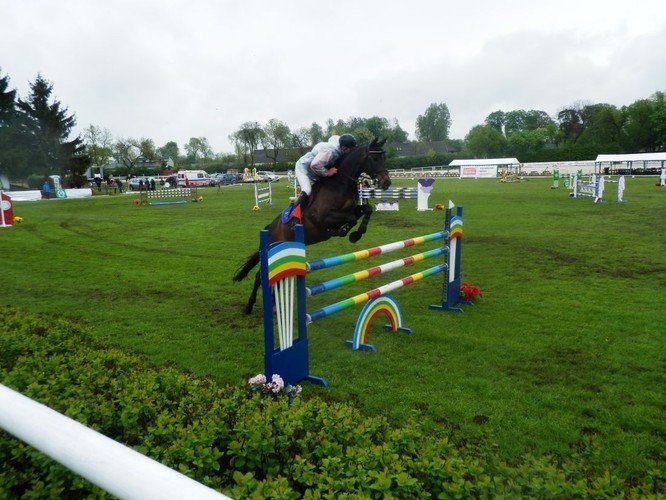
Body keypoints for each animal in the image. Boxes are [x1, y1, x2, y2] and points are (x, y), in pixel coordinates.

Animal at [232, 137, 390, 314]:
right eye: (375, 158)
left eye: (384, 157)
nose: (387, 183)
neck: (339, 184)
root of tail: (268, 228)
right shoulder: (322, 218)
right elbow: (350, 219)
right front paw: (344, 231)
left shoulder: (353, 209)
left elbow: (366, 210)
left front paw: (356, 234)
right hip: (272, 251)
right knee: (259, 276)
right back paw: (249, 306)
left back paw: (273, 307)